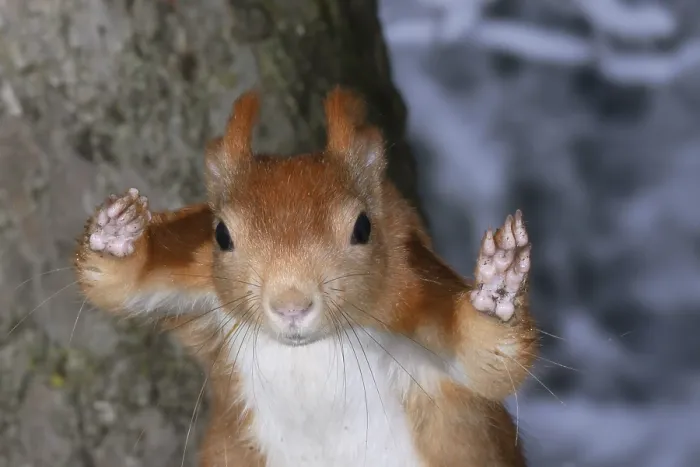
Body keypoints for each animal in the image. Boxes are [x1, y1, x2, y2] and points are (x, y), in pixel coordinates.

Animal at [74, 87, 538, 467]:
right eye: (221, 234)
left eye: (363, 227)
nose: (291, 305)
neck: (309, 351)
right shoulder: (198, 286)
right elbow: (116, 289)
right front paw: (115, 234)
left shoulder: (414, 301)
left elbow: (489, 362)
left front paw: (498, 284)